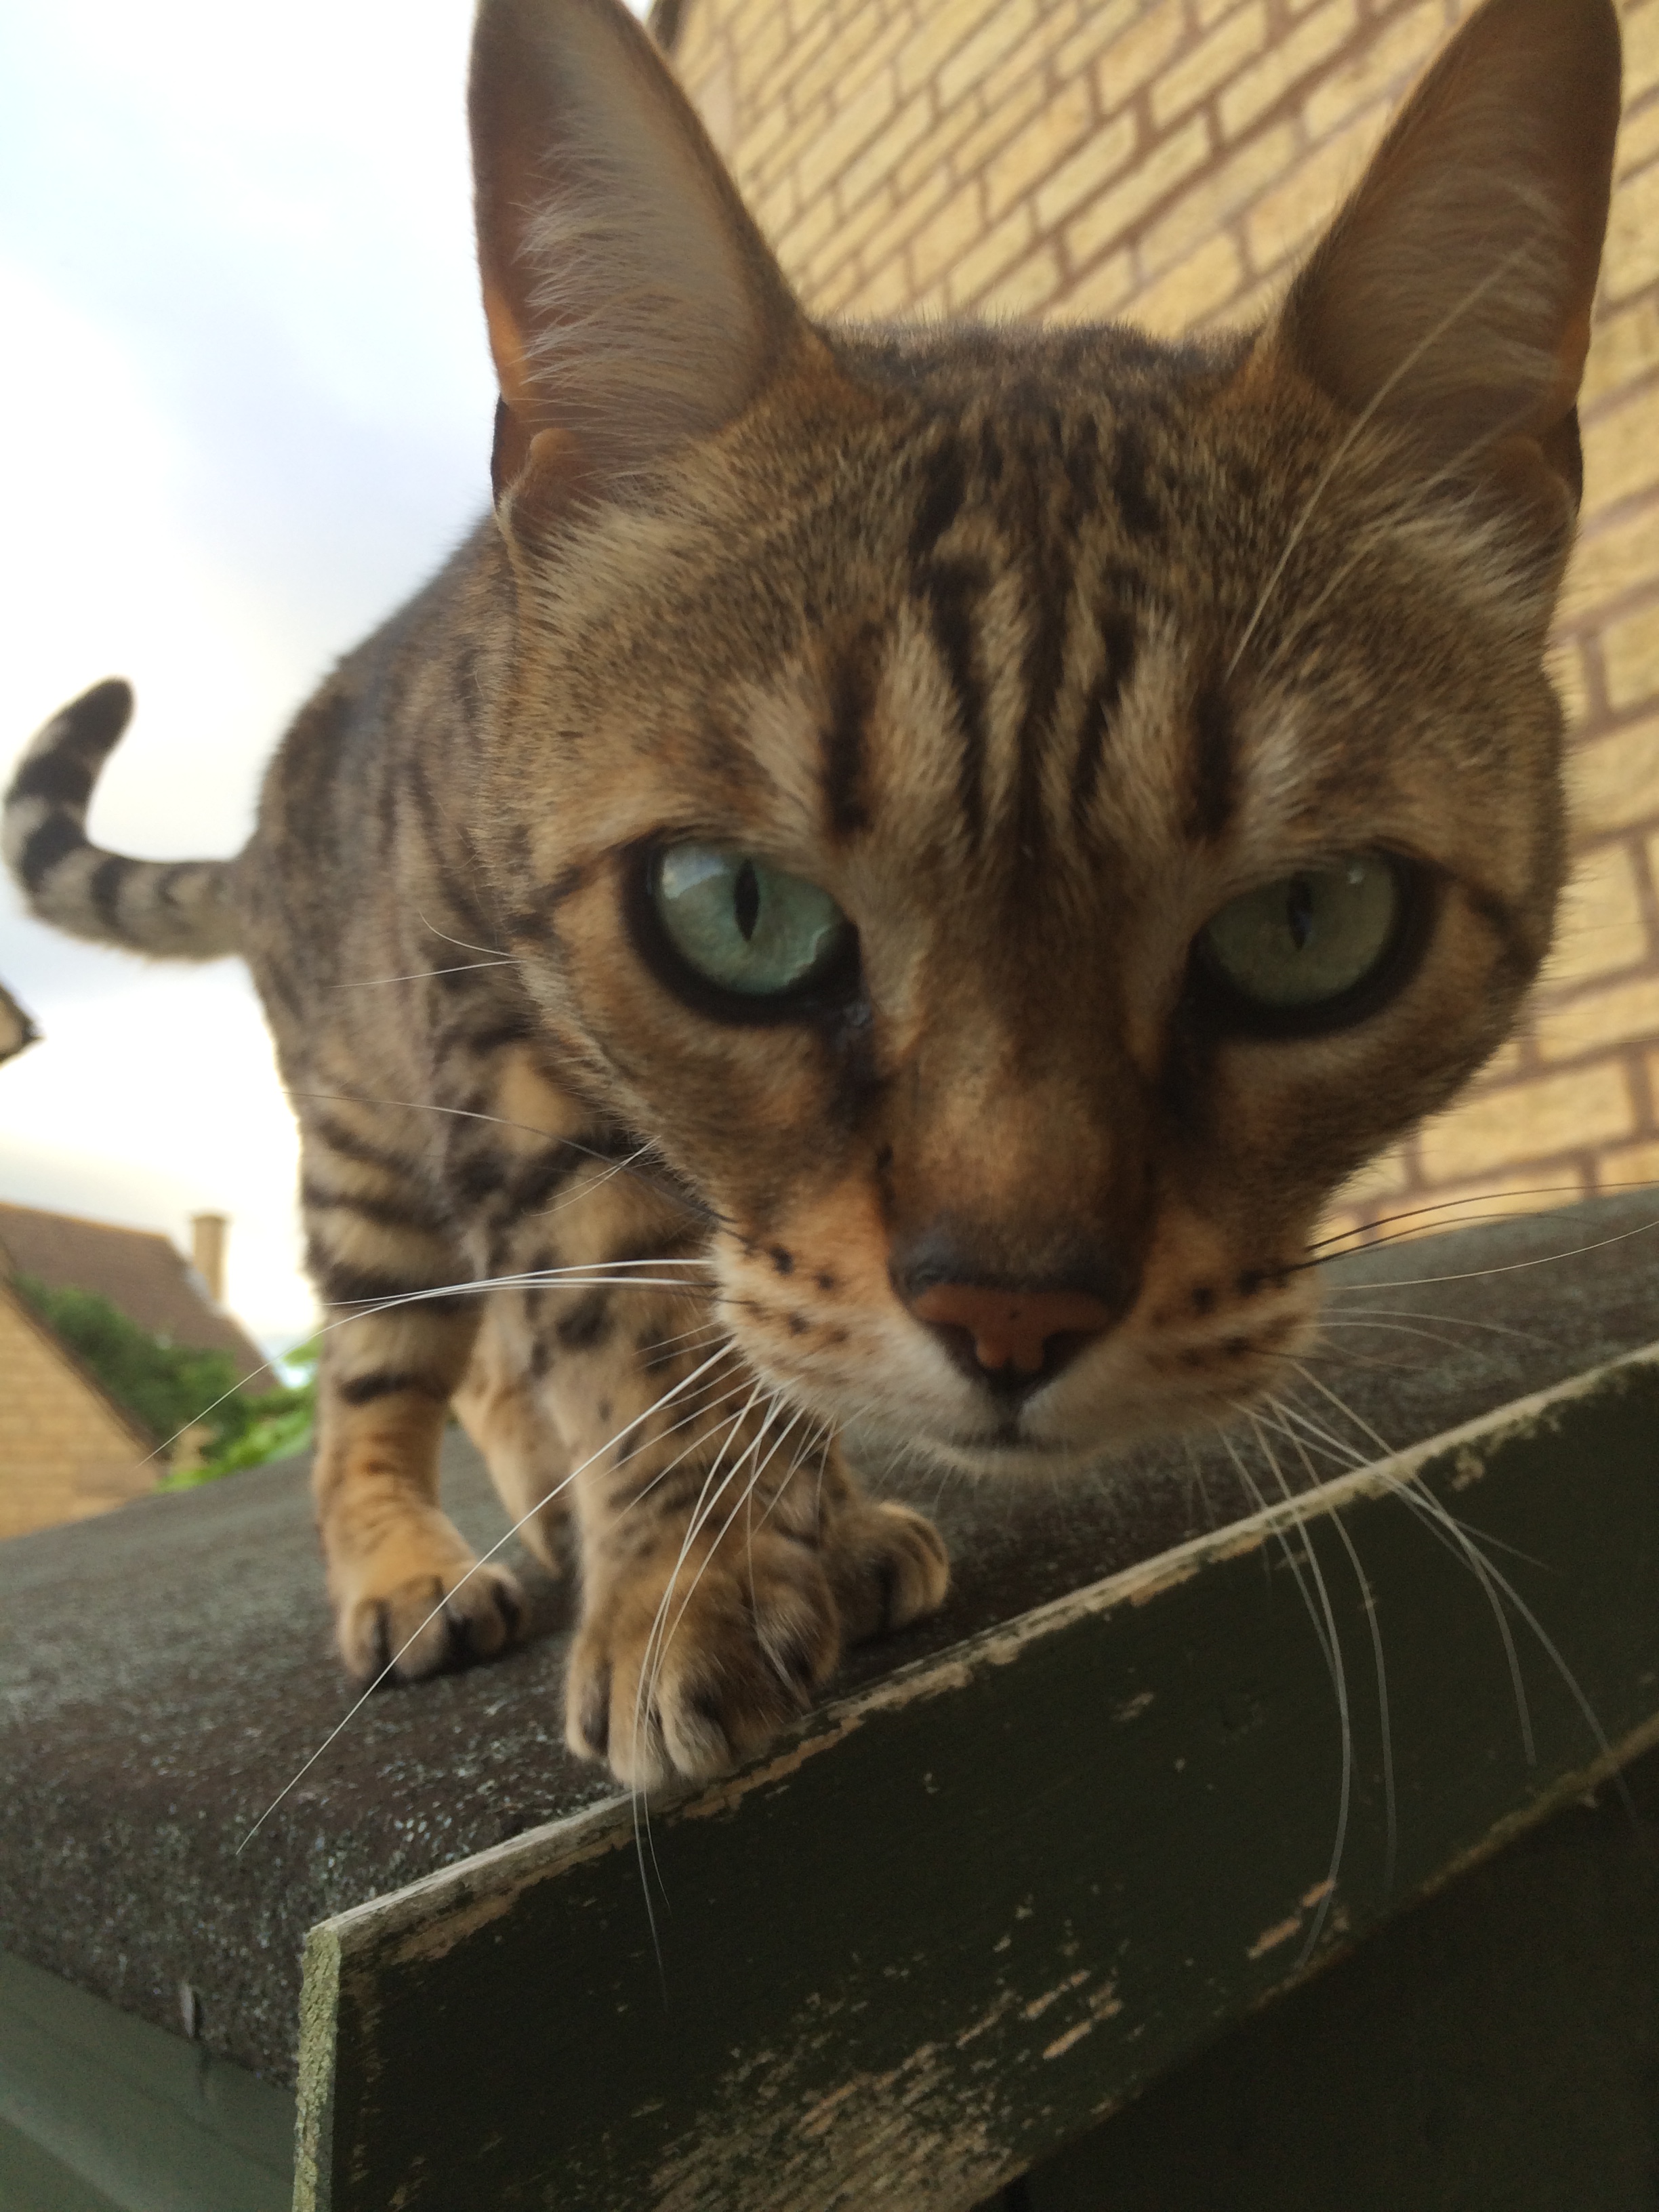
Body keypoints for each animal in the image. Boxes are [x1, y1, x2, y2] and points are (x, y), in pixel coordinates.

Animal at [3, 0, 1628, 1796]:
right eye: (737, 912)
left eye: (1308, 926)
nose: (1009, 1313)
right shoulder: (510, 1045)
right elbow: (630, 1315)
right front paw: (694, 1573)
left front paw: (788, 1520)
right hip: (370, 1150)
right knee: (381, 1384)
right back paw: (412, 1568)